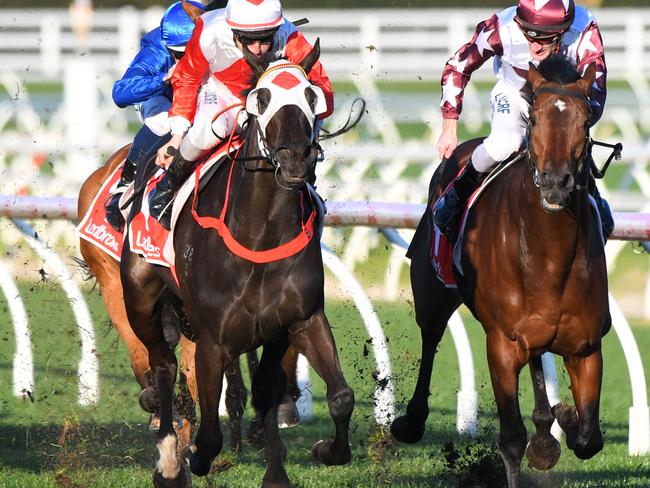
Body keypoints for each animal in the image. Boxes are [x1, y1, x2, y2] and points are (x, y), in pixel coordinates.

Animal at [390, 55, 608, 486]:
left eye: (585, 120)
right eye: (535, 119)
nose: (556, 182)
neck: (549, 258)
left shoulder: (586, 345)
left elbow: (590, 437)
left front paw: (564, 419)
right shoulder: (502, 345)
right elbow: (511, 437)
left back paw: (547, 430)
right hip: (431, 289)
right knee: (431, 336)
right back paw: (411, 420)